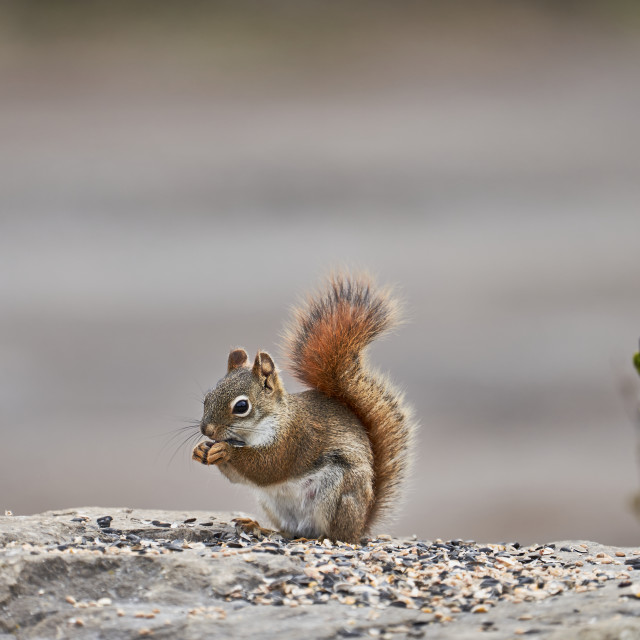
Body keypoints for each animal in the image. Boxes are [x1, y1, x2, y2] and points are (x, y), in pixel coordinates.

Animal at [190, 272, 416, 544]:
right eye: (207, 398)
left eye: (242, 406)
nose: (207, 431)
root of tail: (361, 525)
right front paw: (201, 450)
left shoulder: (294, 439)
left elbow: (267, 466)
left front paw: (225, 451)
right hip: (274, 504)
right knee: (289, 529)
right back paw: (262, 527)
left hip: (337, 491)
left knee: (334, 534)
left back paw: (316, 539)